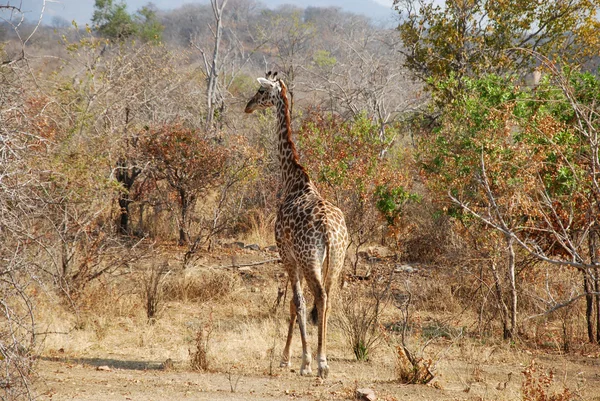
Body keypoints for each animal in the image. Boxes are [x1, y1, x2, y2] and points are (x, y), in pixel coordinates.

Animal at [244, 72, 346, 378]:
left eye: (260, 91)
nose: (247, 106)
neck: (293, 180)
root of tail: (329, 231)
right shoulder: (295, 260)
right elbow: (292, 303)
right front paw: (287, 357)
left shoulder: (286, 255)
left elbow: (297, 303)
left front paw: (302, 360)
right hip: (337, 261)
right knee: (329, 299)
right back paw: (324, 359)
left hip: (310, 259)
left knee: (320, 297)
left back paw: (320, 363)